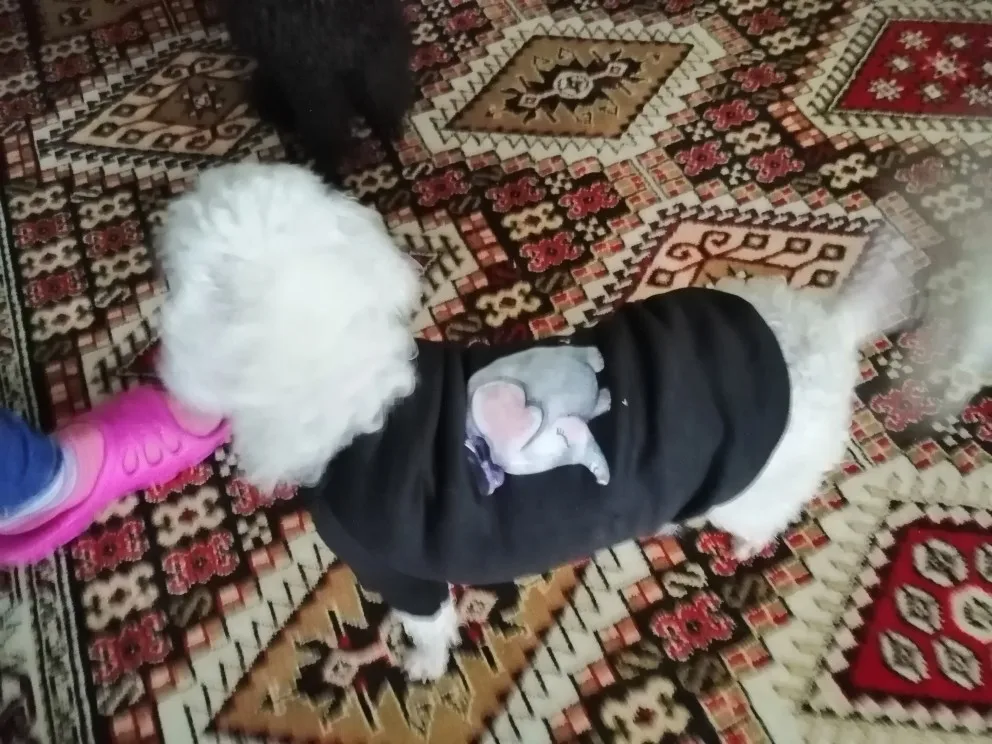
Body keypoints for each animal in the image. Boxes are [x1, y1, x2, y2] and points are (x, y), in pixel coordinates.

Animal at [157, 163, 987, 681]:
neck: (360, 394)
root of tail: (827, 330)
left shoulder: (402, 574)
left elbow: (429, 626)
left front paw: (418, 665)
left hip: (754, 487)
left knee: (767, 514)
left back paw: (743, 543)